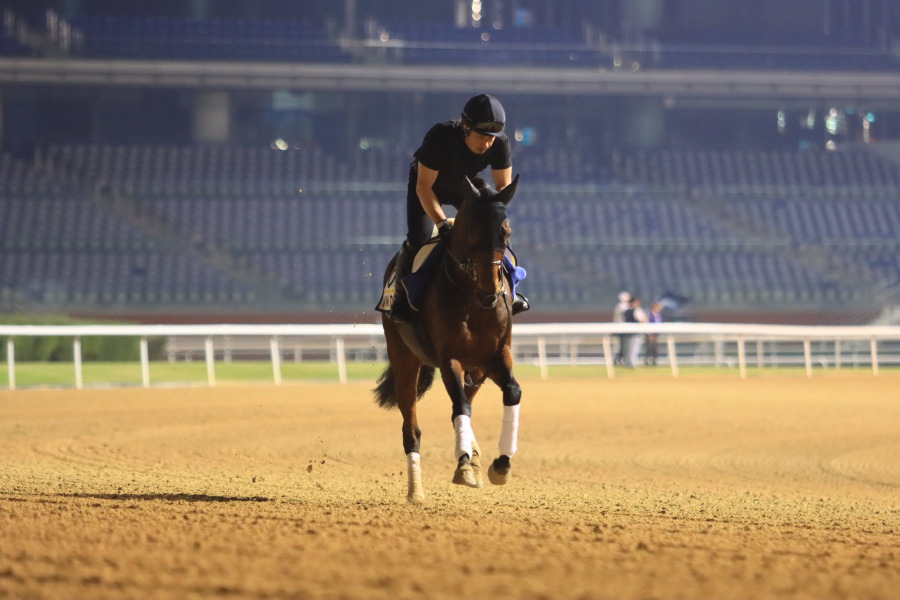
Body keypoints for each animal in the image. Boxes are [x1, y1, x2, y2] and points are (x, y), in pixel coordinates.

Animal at [374, 176, 528, 504]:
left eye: (506, 231)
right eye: (472, 231)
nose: (491, 292)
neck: (472, 298)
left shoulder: (495, 357)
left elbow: (512, 392)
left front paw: (500, 464)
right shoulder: (449, 359)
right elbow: (460, 406)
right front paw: (465, 466)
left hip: (476, 371)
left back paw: (475, 456)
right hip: (404, 357)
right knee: (412, 428)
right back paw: (416, 490)